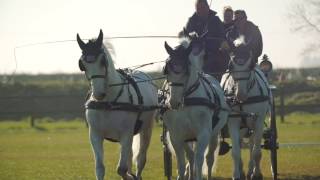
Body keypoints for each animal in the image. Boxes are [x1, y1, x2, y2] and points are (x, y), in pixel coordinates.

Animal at [77, 29, 158, 180]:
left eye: (103, 61)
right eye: (82, 64)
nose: (98, 93)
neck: (108, 103)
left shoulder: (126, 134)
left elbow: (121, 169)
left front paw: (130, 176)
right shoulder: (95, 135)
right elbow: (100, 168)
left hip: (146, 129)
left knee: (140, 159)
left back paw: (137, 174)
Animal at [162, 38, 230, 180]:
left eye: (186, 70)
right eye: (167, 69)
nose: (173, 102)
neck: (186, 102)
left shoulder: (203, 134)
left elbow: (200, 160)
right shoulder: (176, 136)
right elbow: (182, 163)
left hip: (213, 134)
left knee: (208, 159)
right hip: (188, 138)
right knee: (191, 156)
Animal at [221, 44, 272, 180]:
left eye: (251, 65)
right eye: (230, 66)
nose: (240, 95)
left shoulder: (259, 121)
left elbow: (257, 152)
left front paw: (257, 174)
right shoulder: (233, 122)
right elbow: (235, 152)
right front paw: (236, 175)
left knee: (252, 144)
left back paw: (250, 171)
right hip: (243, 127)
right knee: (242, 143)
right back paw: (243, 171)